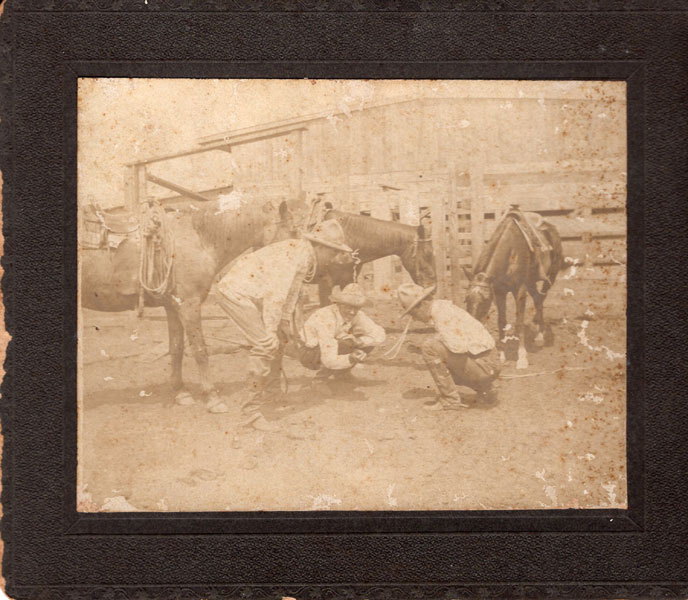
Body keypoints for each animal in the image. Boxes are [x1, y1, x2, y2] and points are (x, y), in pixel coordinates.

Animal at [80, 199, 296, 406]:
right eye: (293, 232)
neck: (199, 239)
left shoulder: (173, 306)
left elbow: (176, 349)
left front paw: (181, 393)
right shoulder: (189, 305)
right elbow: (200, 350)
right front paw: (212, 398)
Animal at [462, 211, 564, 370]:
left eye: (485, 300)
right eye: (466, 298)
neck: (511, 251)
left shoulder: (520, 290)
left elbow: (519, 322)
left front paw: (522, 358)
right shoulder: (499, 292)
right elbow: (502, 321)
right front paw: (502, 355)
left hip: (550, 277)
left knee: (541, 299)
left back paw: (540, 336)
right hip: (531, 283)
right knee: (537, 299)